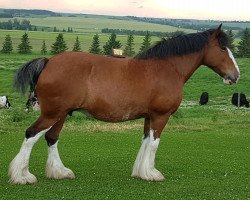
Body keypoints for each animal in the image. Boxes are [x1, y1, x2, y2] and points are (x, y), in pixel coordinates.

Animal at [8, 24, 240, 184]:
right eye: (222, 47)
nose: (235, 75)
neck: (167, 68)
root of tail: (48, 62)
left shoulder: (149, 116)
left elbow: (145, 141)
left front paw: (141, 172)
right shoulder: (160, 115)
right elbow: (154, 144)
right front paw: (152, 173)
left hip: (61, 114)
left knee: (51, 138)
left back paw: (59, 172)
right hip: (52, 114)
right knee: (31, 135)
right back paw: (22, 176)